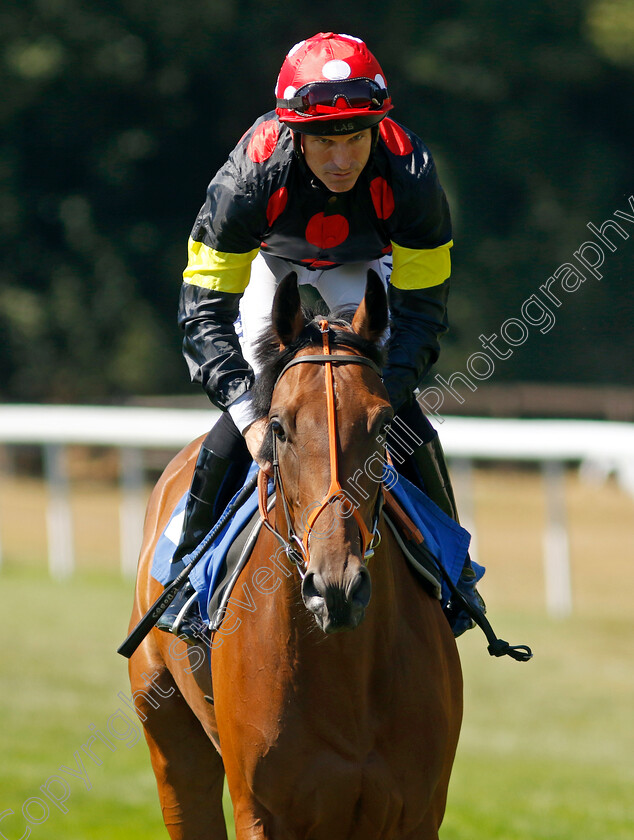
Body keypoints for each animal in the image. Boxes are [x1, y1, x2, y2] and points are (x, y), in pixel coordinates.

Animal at [127, 272, 460, 836]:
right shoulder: (263, 811)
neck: (346, 671)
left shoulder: (417, 813)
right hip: (169, 741)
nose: (337, 588)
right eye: (279, 426)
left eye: (384, 424)